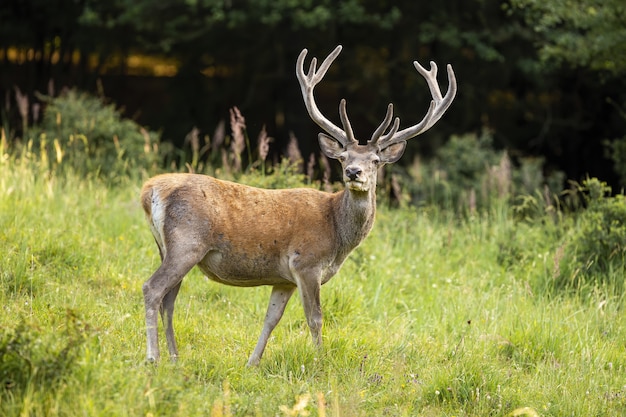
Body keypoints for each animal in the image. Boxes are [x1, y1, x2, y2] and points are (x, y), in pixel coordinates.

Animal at [140, 44, 454, 364]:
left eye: (376, 160)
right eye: (343, 158)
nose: (354, 172)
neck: (337, 234)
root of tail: (151, 190)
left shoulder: (283, 279)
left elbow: (270, 319)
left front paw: (252, 363)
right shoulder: (306, 263)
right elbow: (315, 318)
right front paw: (320, 360)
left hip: (166, 247)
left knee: (169, 299)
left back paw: (174, 358)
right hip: (187, 242)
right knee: (152, 288)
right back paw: (153, 357)